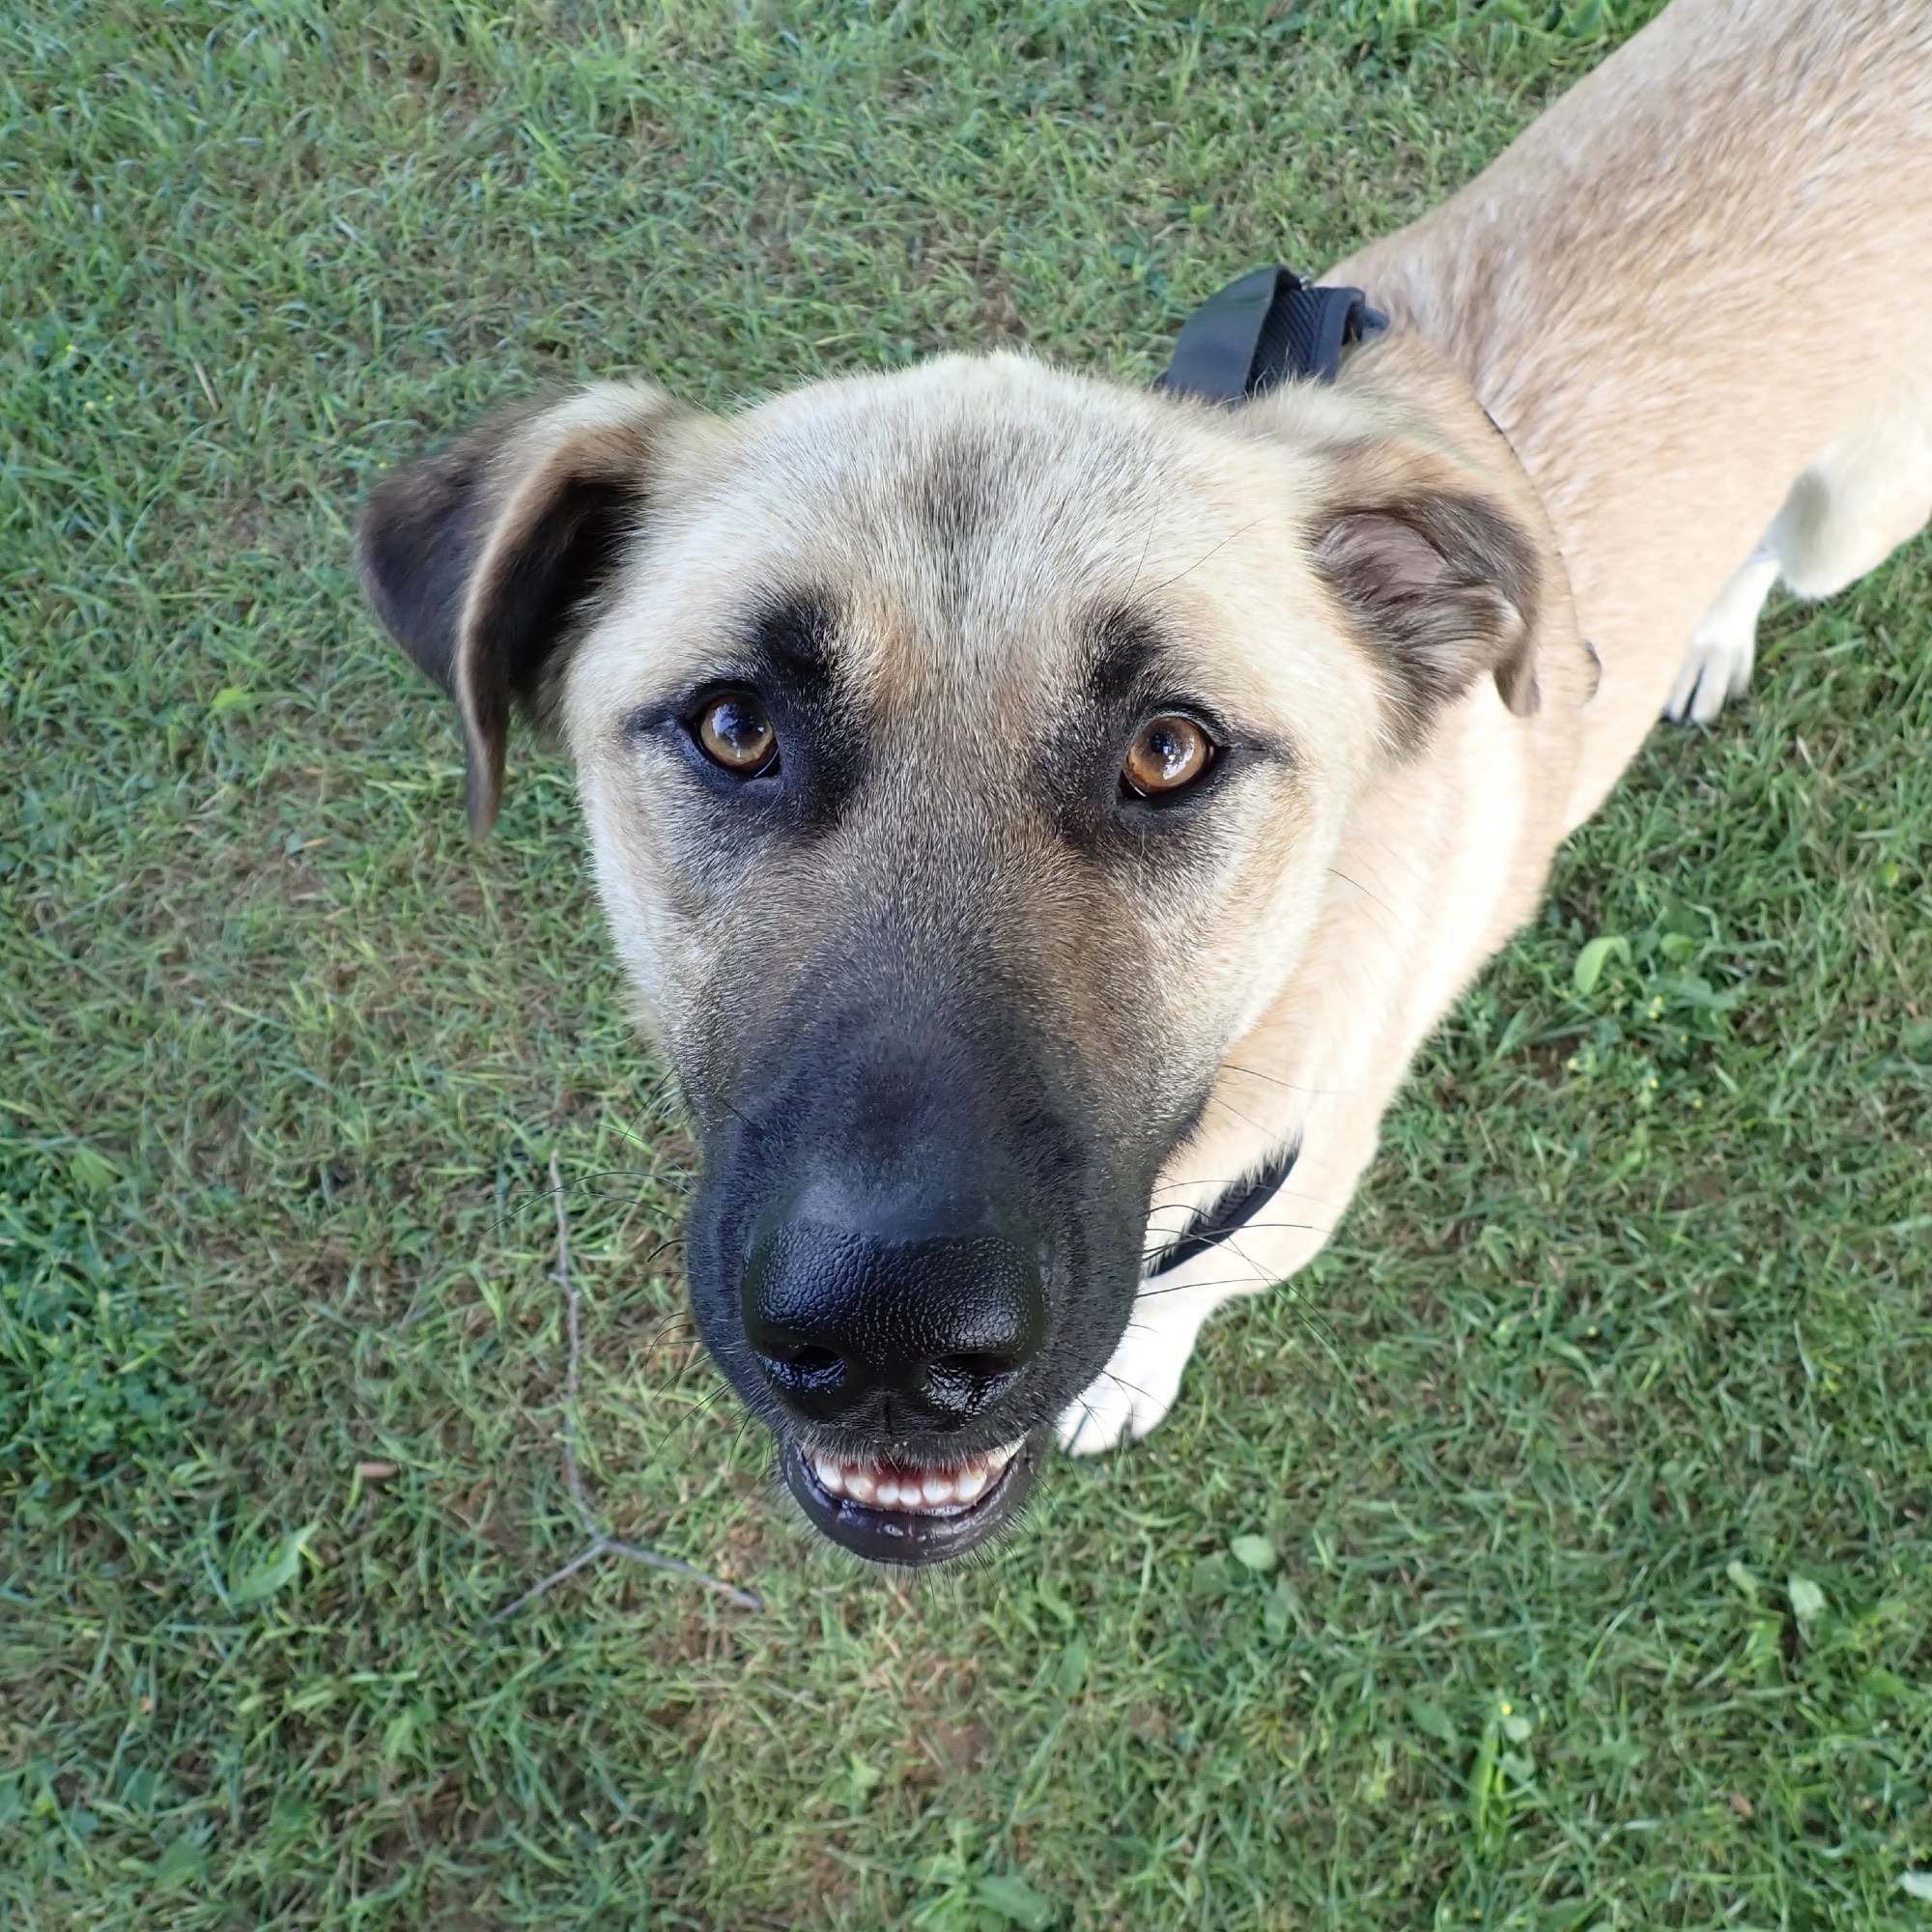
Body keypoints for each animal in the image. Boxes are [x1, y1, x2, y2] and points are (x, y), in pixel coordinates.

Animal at [355, 0, 1932, 1565]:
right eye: (736, 727)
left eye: (1169, 749)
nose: (886, 1343)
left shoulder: (1284, 1206)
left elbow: (1179, 1295)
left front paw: (1127, 1373)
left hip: (1855, 514)